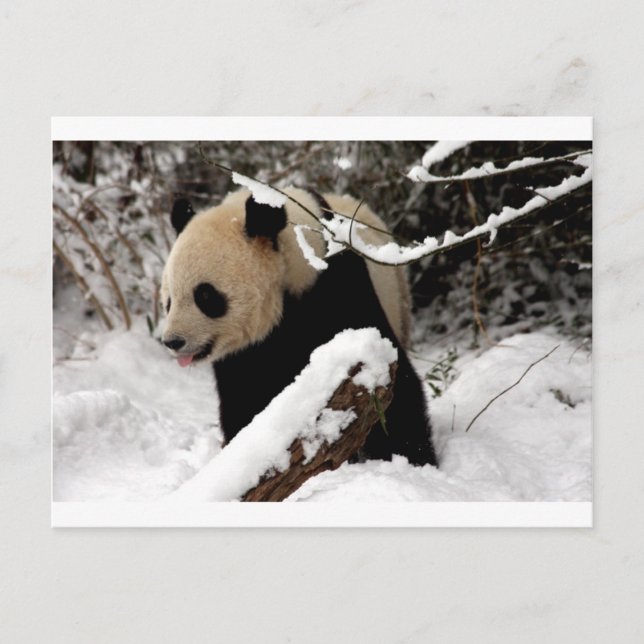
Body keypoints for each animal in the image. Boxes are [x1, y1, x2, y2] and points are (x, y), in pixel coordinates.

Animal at [161, 186, 436, 466]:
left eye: (205, 296)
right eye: (169, 300)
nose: (173, 341)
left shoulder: (340, 289)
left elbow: (392, 383)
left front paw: (411, 458)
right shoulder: (242, 355)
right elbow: (244, 400)